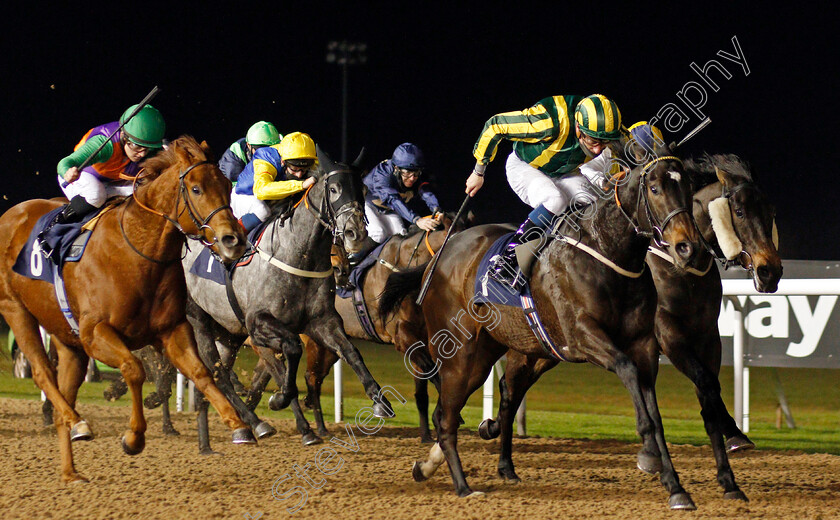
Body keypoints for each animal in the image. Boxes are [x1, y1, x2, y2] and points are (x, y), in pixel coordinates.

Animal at [181, 153, 398, 450]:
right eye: (334, 189)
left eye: (363, 191)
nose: (355, 233)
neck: (297, 255)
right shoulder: (258, 323)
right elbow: (292, 351)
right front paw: (281, 400)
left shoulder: (322, 321)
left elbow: (351, 352)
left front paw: (379, 400)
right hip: (200, 321)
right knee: (218, 374)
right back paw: (254, 425)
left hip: (229, 332)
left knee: (220, 373)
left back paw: (232, 431)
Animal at [380, 144, 704, 510]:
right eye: (655, 189)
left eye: (688, 186)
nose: (688, 247)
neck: (609, 254)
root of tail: (436, 260)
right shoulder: (583, 336)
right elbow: (627, 370)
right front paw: (648, 454)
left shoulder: (644, 344)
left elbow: (654, 411)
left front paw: (675, 487)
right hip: (460, 353)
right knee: (446, 416)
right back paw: (463, 486)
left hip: (493, 353)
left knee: (470, 403)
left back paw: (435, 466)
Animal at [480, 154, 780, 504]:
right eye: (741, 212)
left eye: (770, 212)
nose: (771, 272)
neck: (676, 268)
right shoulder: (670, 337)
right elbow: (706, 385)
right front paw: (733, 440)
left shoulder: (706, 337)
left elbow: (708, 394)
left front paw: (729, 478)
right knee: (510, 390)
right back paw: (499, 452)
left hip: (546, 350)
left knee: (512, 390)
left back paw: (502, 456)